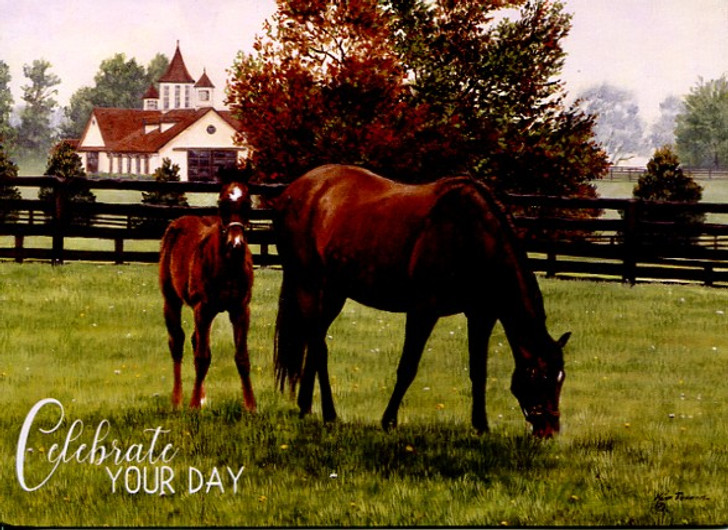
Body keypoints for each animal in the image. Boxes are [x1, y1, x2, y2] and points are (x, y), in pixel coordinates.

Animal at [161, 176, 258, 408]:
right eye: (222, 204)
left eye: (248, 204)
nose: (236, 244)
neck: (228, 266)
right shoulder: (203, 308)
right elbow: (202, 357)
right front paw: (193, 406)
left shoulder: (241, 309)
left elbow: (242, 357)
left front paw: (251, 406)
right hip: (172, 300)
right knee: (177, 342)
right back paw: (177, 400)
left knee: (195, 340)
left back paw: (202, 397)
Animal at [272, 163, 568, 436]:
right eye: (541, 377)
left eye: (560, 378)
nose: (550, 430)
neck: (468, 234)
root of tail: (295, 190)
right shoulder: (423, 311)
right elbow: (408, 368)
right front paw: (389, 421)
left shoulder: (481, 316)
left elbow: (478, 371)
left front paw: (481, 426)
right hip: (308, 285)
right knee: (319, 348)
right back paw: (329, 414)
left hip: (334, 293)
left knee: (314, 342)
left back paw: (306, 408)